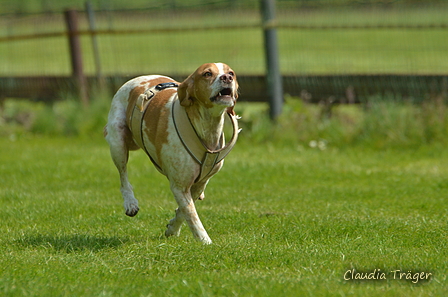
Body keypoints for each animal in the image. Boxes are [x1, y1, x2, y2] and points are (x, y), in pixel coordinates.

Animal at [105, 61, 240, 243]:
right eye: (207, 74)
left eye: (231, 72)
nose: (227, 78)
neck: (206, 127)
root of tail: (138, 78)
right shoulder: (179, 186)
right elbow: (192, 216)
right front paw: (205, 242)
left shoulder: (199, 183)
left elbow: (184, 211)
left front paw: (172, 228)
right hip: (117, 143)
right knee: (123, 176)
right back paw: (130, 202)